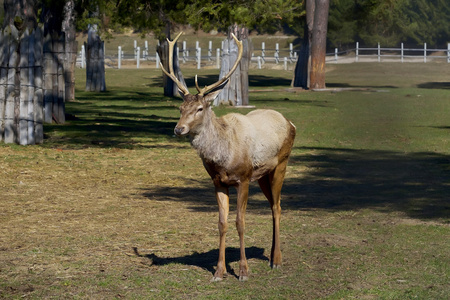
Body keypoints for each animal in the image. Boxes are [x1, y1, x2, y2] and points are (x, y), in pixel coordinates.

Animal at [160, 32, 298, 282]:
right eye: (180, 108)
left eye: (200, 109)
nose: (178, 129)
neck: (222, 160)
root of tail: (291, 123)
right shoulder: (218, 182)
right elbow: (222, 223)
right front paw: (219, 271)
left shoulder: (243, 178)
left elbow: (240, 222)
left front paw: (243, 271)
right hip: (262, 176)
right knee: (273, 205)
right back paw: (271, 256)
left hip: (281, 164)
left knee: (278, 206)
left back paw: (276, 260)